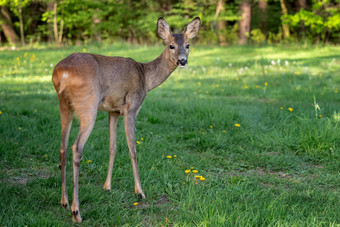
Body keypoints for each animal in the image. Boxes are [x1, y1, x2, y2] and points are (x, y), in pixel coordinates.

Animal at [50, 16, 199, 223]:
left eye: (187, 44)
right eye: (171, 45)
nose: (182, 61)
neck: (146, 77)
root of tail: (61, 73)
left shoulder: (113, 111)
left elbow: (112, 147)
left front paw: (107, 186)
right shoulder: (131, 107)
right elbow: (132, 149)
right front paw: (140, 192)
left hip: (64, 105)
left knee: (62, 147)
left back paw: (63, 202)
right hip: (87, 104)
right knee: (76, 147)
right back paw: (76, 211)